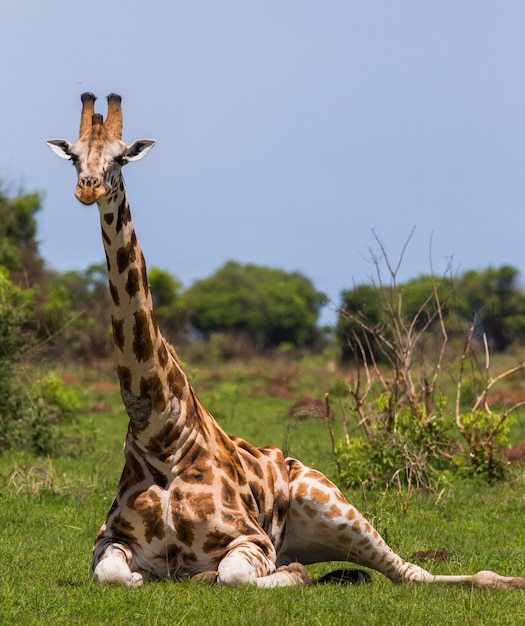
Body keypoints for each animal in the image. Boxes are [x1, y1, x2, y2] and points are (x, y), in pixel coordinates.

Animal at [46, 91, 524, 584]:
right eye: (75, 157)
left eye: (120, 157)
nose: (88, 189)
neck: (161, 432)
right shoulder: (108, 539)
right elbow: (116, 574)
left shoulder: (252, 539)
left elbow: (234, 575)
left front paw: (287, 574)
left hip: (331, 502)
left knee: (410, 572)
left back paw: (503, 580)